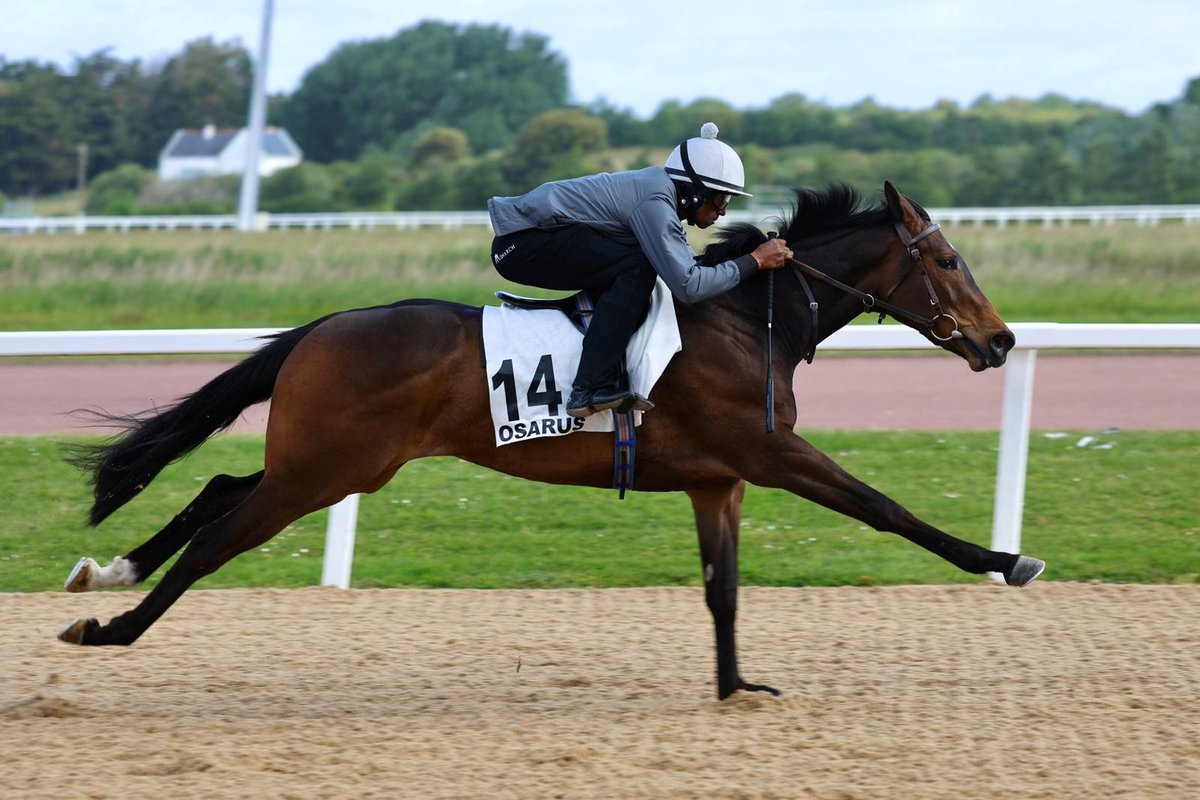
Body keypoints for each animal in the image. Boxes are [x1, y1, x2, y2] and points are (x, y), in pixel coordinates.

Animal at [59, 181, 1044, 700]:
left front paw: (736, 689)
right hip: (322, 471)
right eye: (948, 260)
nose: (1000, 341)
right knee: (219, 537)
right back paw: (111, 627)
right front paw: (1006, 560)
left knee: (219, 489)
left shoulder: (719, 480)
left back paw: (110, 572)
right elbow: (887, 509)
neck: (744, 320)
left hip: (327, 467)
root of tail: (318, 330)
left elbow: (723, 591)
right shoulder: (771, 454)